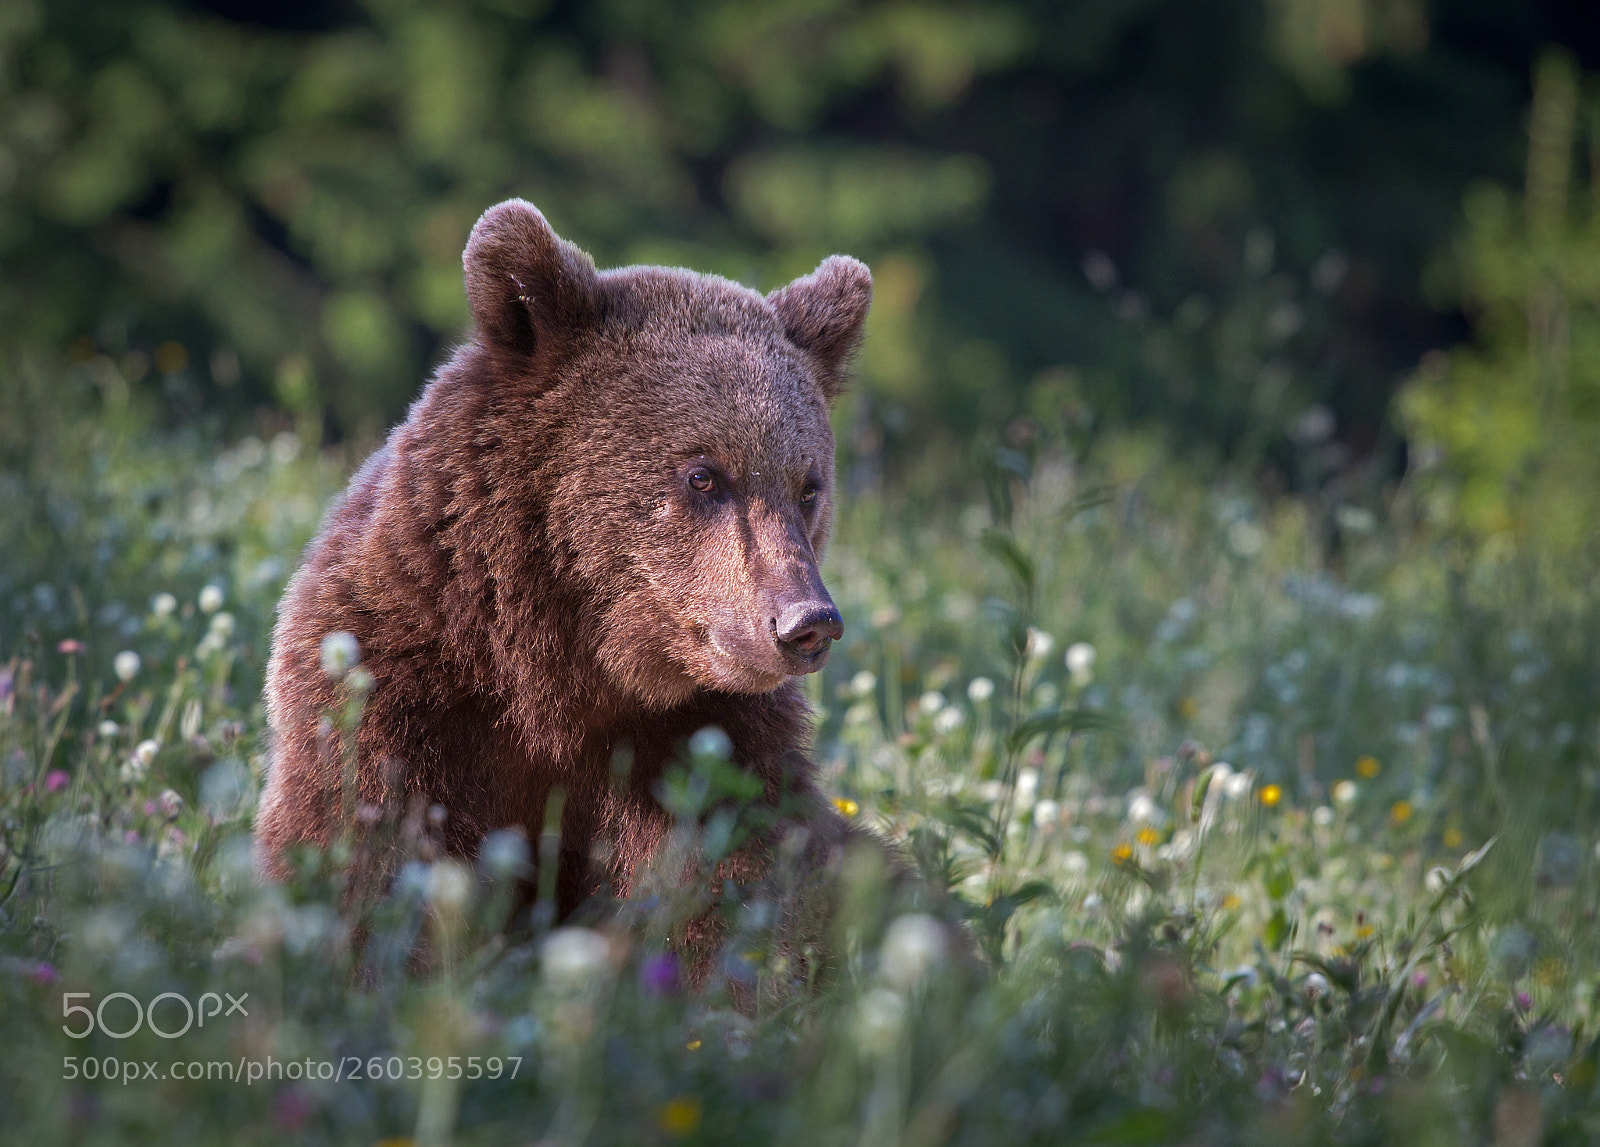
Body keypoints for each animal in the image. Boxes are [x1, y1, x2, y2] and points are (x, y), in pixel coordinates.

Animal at [254, 198, 890, 980]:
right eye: (704, 474)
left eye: (808, 486)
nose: (806, 622)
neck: (561, 672)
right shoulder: (393, 693)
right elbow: (361, 861)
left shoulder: (707, 747)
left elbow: (728, 902)